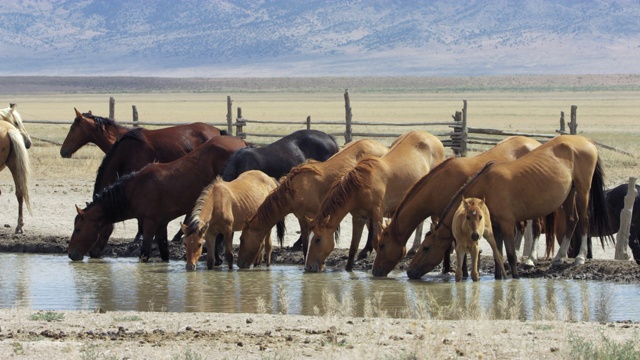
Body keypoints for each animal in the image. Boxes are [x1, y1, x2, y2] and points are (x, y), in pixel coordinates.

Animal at [68, 136, 248, 262]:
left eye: (78, 228)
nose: (70, 254)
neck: (135, 189)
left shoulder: (149, 224)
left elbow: (145, 254)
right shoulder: (161, 225)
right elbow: (164, 254)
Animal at [236, 139, 390, 268]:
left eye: (242, 239)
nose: (239, 264)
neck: (295, 190)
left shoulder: (312, 216)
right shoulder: (302, 218)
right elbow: (305, 244)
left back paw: (366, 251)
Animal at [304, 131, 444, 272]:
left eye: (318, 239)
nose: (308, 267)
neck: (360, 188)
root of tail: (431, 137)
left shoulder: (377, 214)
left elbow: (377, 241)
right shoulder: (358, 218)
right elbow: (353, 247)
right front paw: (349, 269)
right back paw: (413, 248)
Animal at [370, 136, 540, 278]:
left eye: (382, 245)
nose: (375, 271)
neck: (440, 184)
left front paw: (458, 271)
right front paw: (448, 269)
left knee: (534, 229)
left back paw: (530, 259)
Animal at [408, 136, 612, 282]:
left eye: (426, 248)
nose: (409, 271)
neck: (487, 185)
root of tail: (587, 142)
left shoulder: (506, 225)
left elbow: (511, 255)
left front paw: (514, 278)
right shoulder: (496, 228)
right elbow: (498, 254)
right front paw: (499, 277)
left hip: (583, 189)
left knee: (584, 220)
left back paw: (579, 257)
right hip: (570, 194)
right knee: (572, 220)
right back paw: (559, 258)